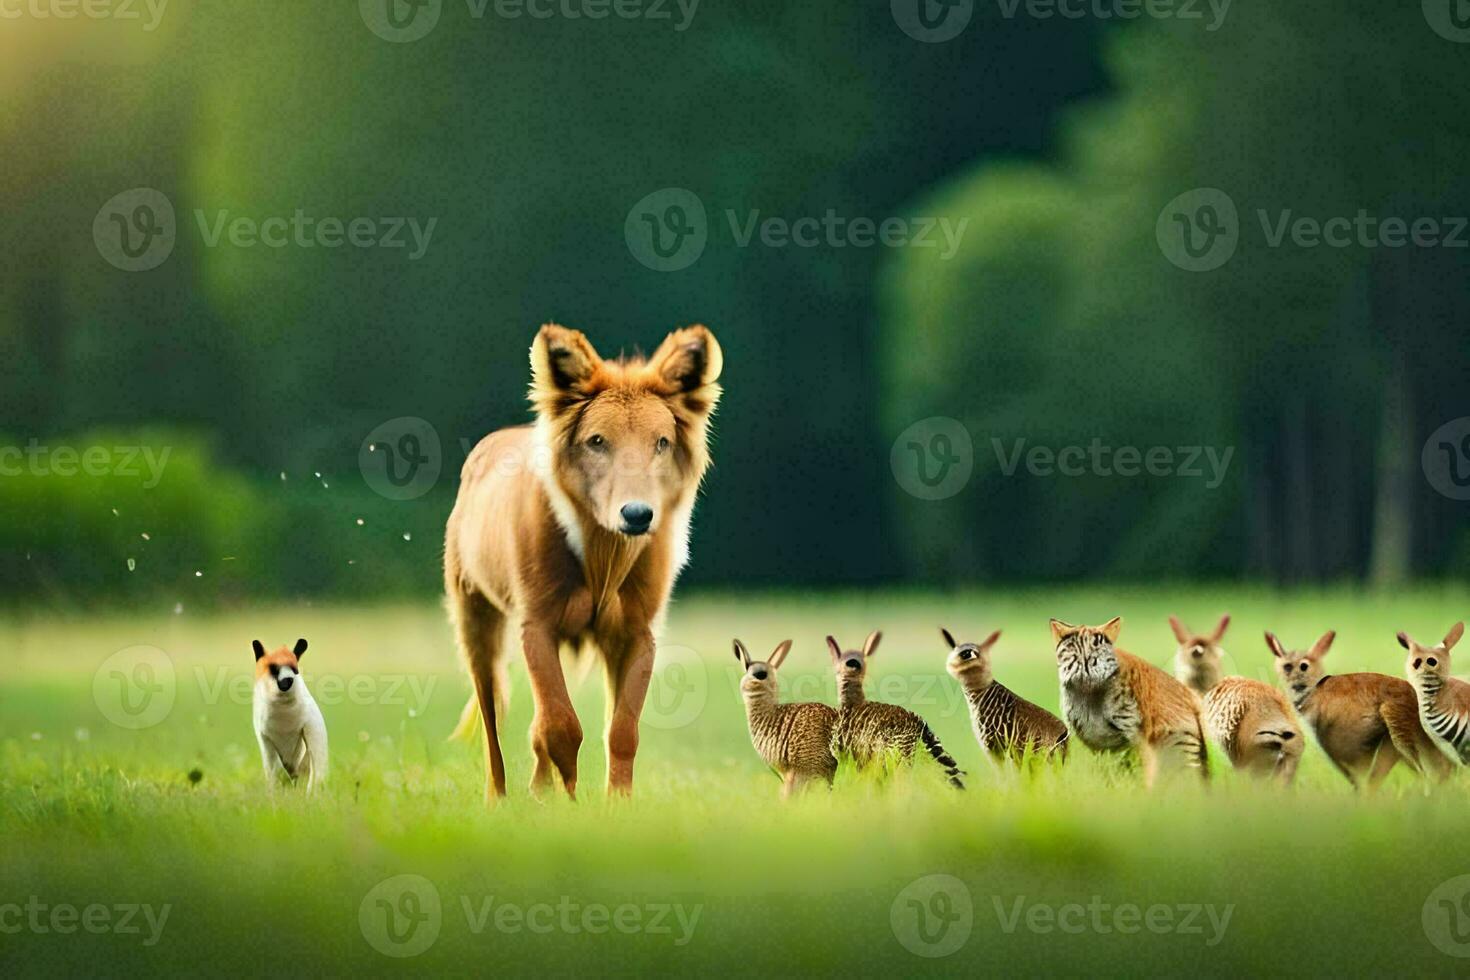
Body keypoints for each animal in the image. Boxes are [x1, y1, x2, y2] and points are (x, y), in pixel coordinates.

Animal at [252, 640, 327, 793]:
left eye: (295, 668)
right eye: (273, 668)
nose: (287, 680)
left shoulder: (312, 728)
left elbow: (311, 774)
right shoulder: (264, 737)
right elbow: (277, 772)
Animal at [446, 326, 723, 799]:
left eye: (662, 442)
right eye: (597, 440)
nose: (637, 514)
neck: (602, 554)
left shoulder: (637, 631)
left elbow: (621, 731)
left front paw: (615, 804)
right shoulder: (536, 623)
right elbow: (560, 727)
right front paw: (570, 801)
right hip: (474, 614)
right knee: (491, 713)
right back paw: (499, 798)